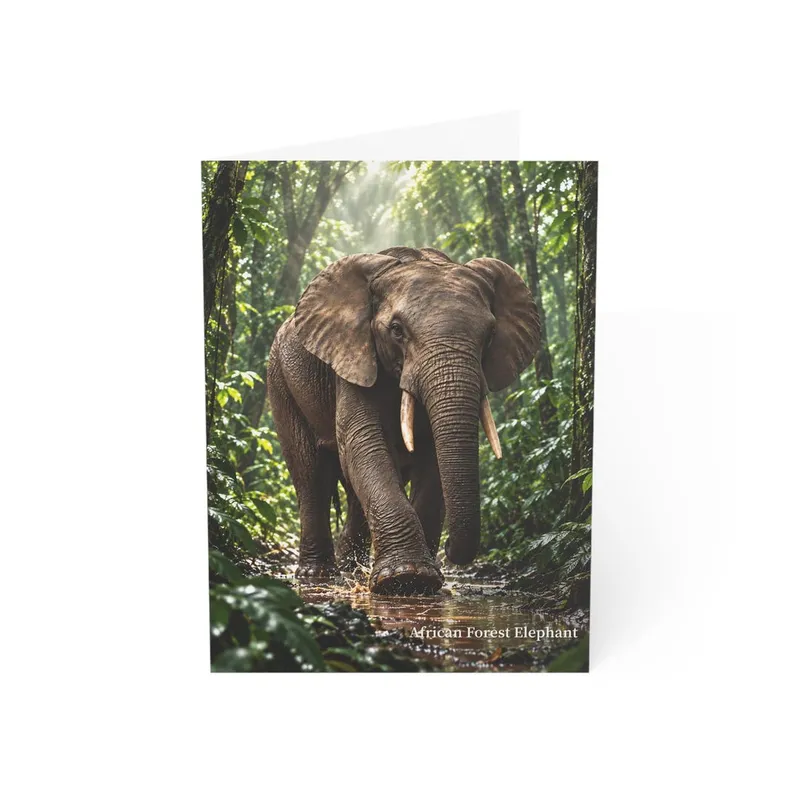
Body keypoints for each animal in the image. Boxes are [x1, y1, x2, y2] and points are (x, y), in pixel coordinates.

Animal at [266, 246, 539, 595]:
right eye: (396, 330)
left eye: (490, 335)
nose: (450, 552)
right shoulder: (354, 359)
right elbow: (362, 443)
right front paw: (403, 578)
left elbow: (431, 461)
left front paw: (421, 579)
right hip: (280, 381)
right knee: (311, 473)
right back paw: (317, 575)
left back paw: (350, 569)